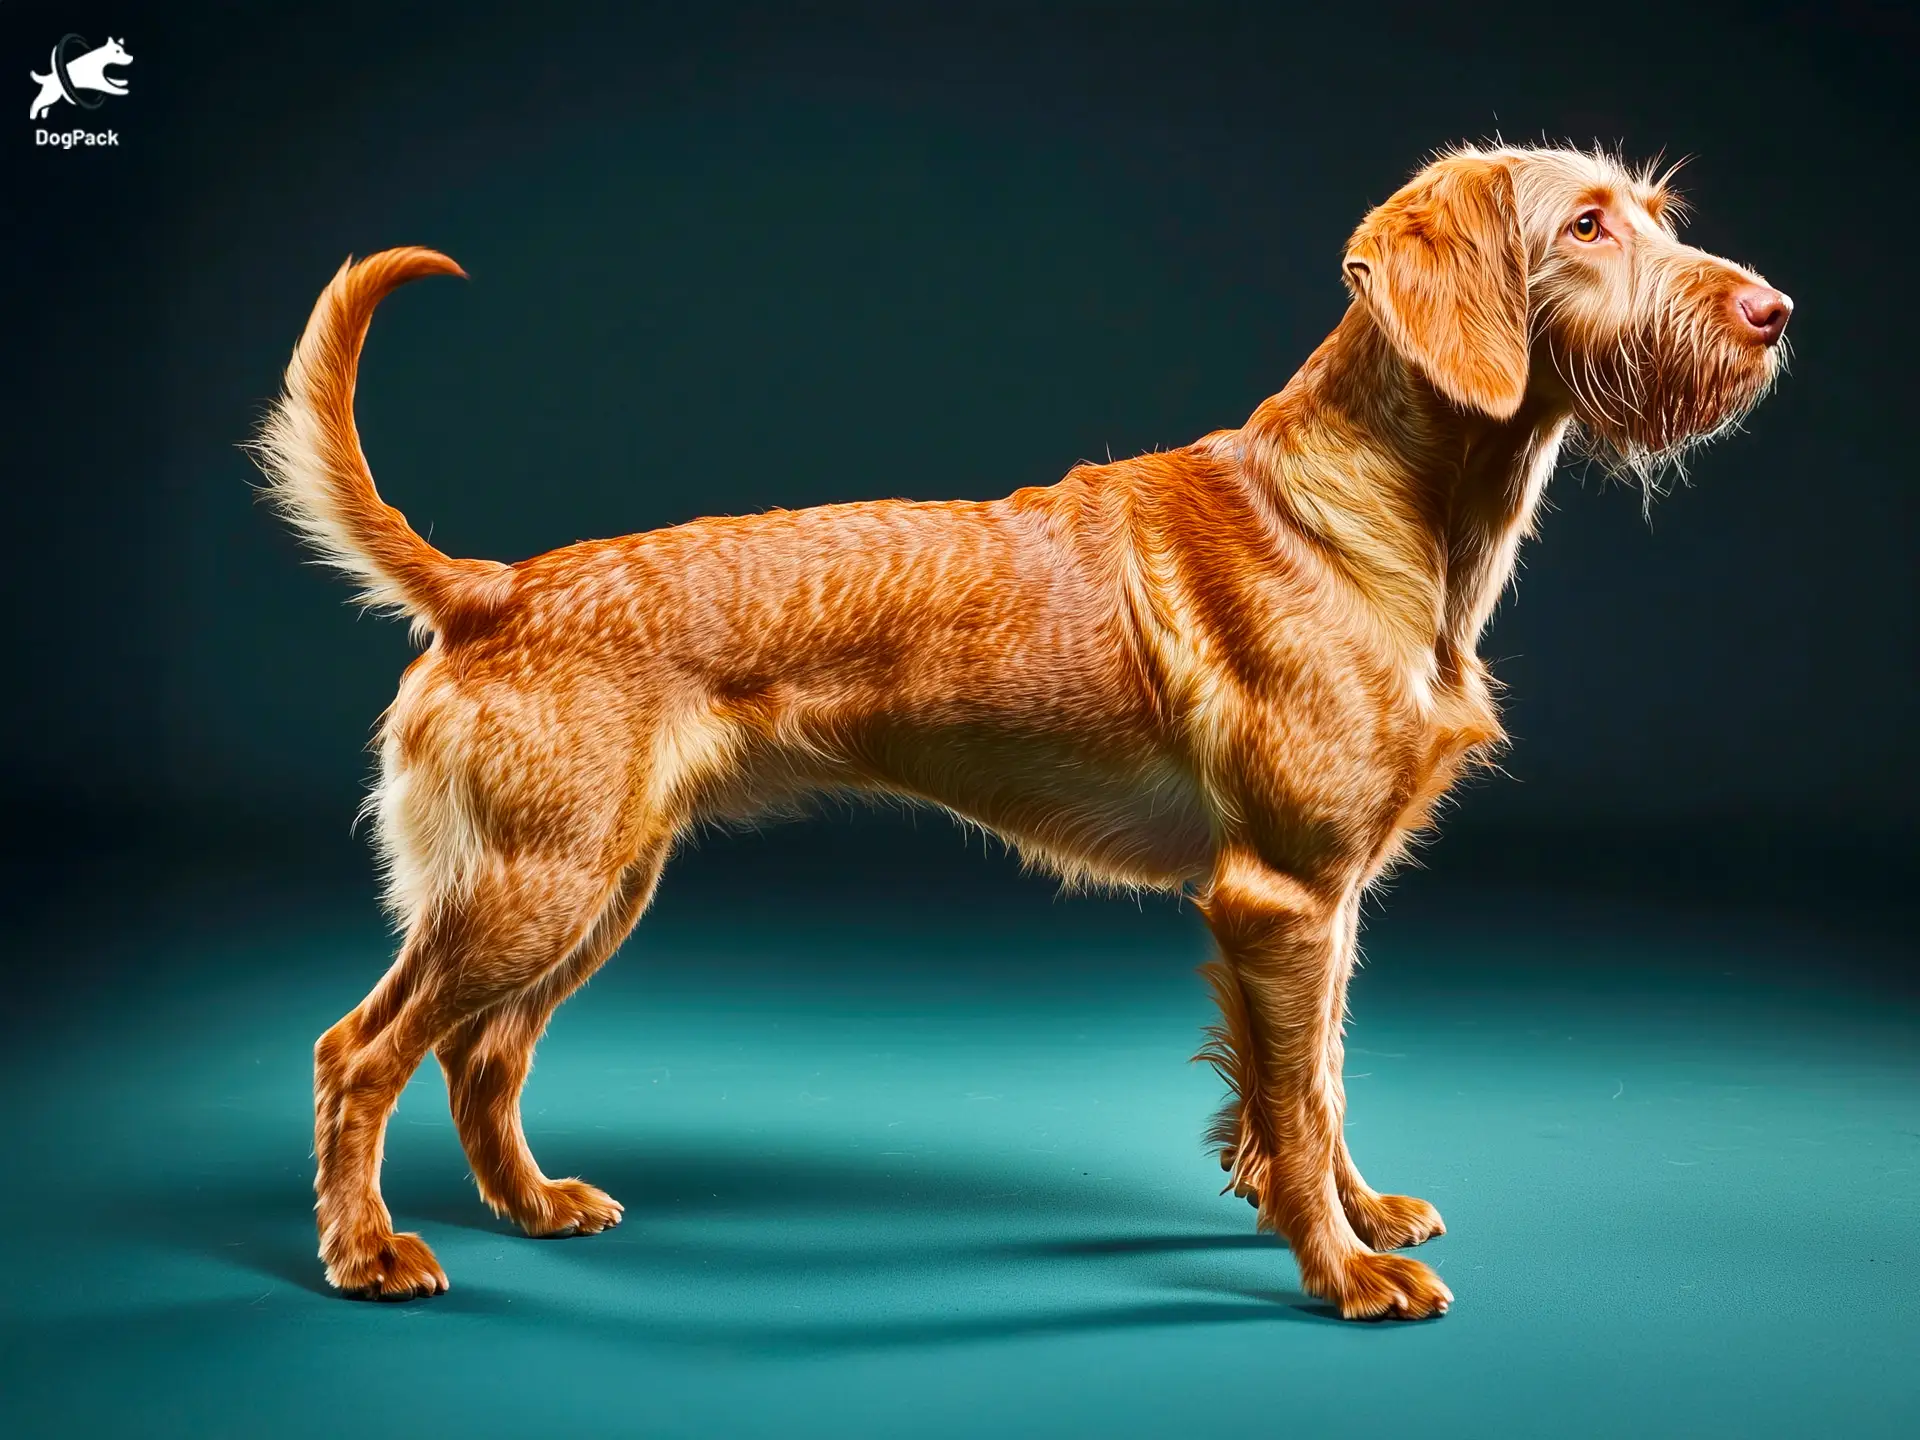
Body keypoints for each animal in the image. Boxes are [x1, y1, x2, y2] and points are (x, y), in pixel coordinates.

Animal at [251, 141, 1781, 1328]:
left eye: (1656, 211)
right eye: (1585, 225)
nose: (1774, 311)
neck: (1372, 518)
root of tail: (494, 588)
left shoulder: (1330, 899)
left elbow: (1322, 1083)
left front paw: (1351, 1215)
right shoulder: (1279, 895)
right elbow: (1297, 1100)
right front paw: (1340, 1271)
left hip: (596, 881)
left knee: (482, 1056)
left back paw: (532, 1203)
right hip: (532, 885)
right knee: (359, 1052)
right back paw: (367, 1251)